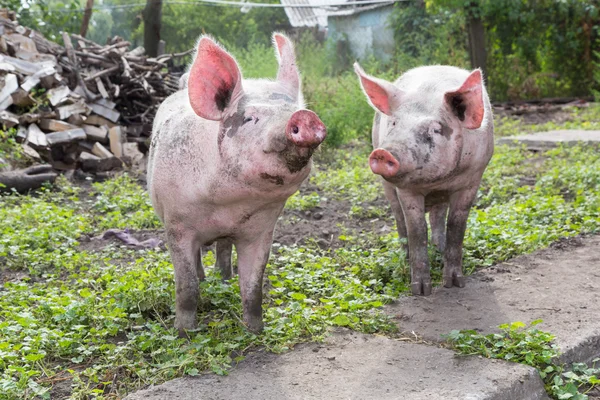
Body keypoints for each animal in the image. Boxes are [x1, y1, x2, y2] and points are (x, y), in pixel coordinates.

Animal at [149, 33, 328, 334]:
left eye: (295, 110)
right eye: (249, 118)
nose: (304, 117)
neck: (229, 205)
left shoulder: (262, 229)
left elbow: (254, 287)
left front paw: (255, 331)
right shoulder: (176, 224)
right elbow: (187, 286)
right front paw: (185, 333)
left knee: (223, 249)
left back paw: (225, 279)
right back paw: (208, 279)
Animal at [352, 64, 492, 296]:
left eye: (435, 129)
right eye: (394, 123)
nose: (383, 153)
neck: (436, 182)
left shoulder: (472, 180)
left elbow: (456, 227)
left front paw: (455, 284)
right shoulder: (406, 189)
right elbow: (416, 230)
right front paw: (421, 291)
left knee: (438, 216)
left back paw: (439, 249)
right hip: (387, 187)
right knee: (399, 220)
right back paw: (405, 255)